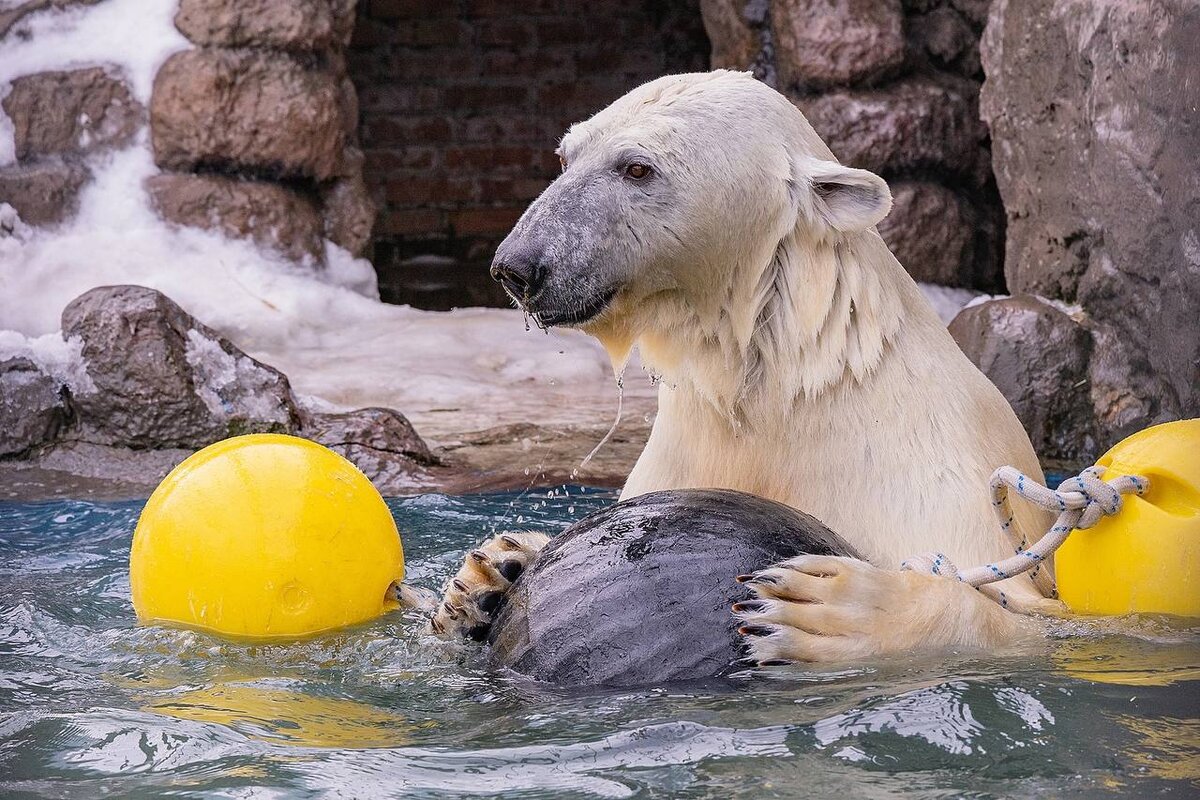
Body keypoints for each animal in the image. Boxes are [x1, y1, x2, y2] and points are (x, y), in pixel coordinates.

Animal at [422, 71, 1060, 662]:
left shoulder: (927, 469)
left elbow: (1026, 615)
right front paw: (488, 574)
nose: (517, 267)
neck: (779, 389)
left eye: (637, 168)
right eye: (565, 155)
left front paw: (829, 607)